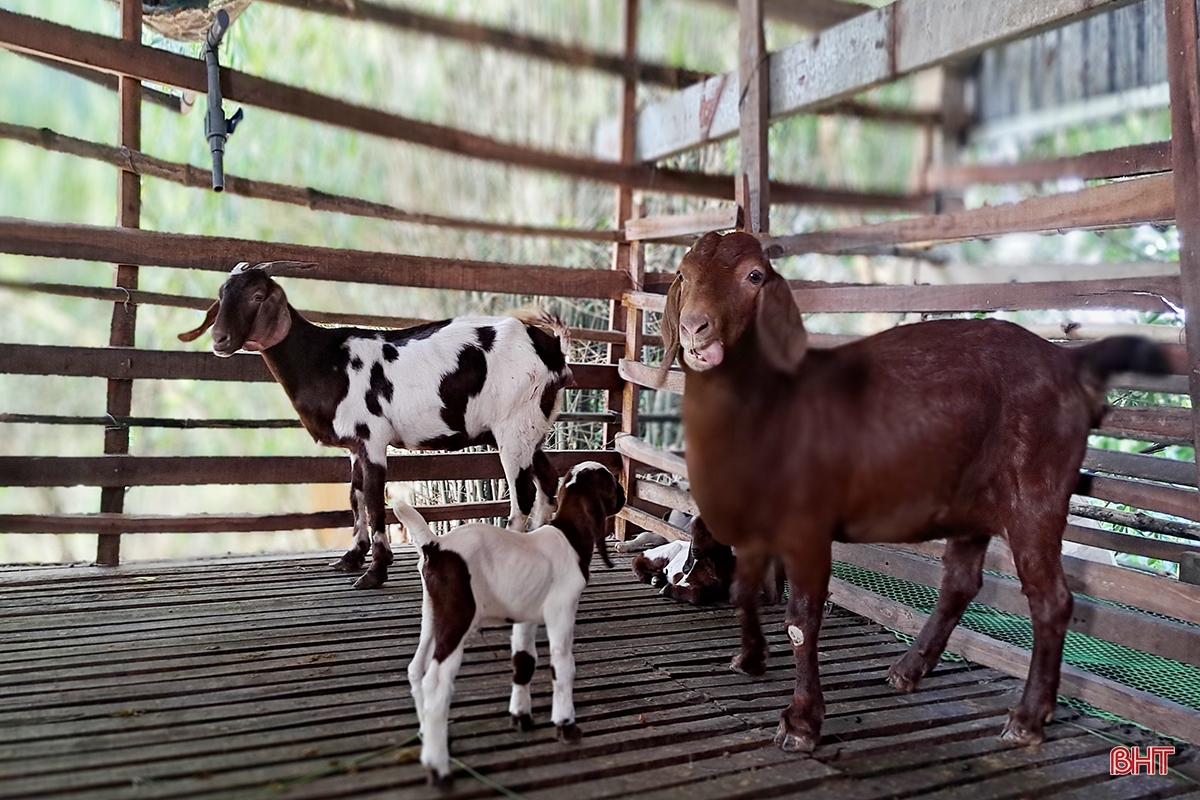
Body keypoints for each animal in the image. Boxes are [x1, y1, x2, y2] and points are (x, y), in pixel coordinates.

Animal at [177, 262, 571, 587]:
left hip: (513, 427)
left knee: (523, 493)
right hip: (532, 428)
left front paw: (375, 571)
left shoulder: (373, 438)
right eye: (221, 295)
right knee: (547, 481)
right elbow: (353, 497)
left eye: (257, 296)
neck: (324, 360)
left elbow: (372, 499)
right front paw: (351, 558)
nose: (219, 340)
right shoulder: (354, 445)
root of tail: (550, 347)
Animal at [662, 232, 1166, 758]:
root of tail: (1068, 361)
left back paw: (1027, 719)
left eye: (755, 276)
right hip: (971, 505)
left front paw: (801, 722)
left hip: (1038, 492)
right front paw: (750, 659)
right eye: (682, 273)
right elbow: (743, 589)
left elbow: (802, 619)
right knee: (961, 582)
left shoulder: (807, 527)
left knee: (1051, 599)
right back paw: (909, 669)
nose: (695, 327)